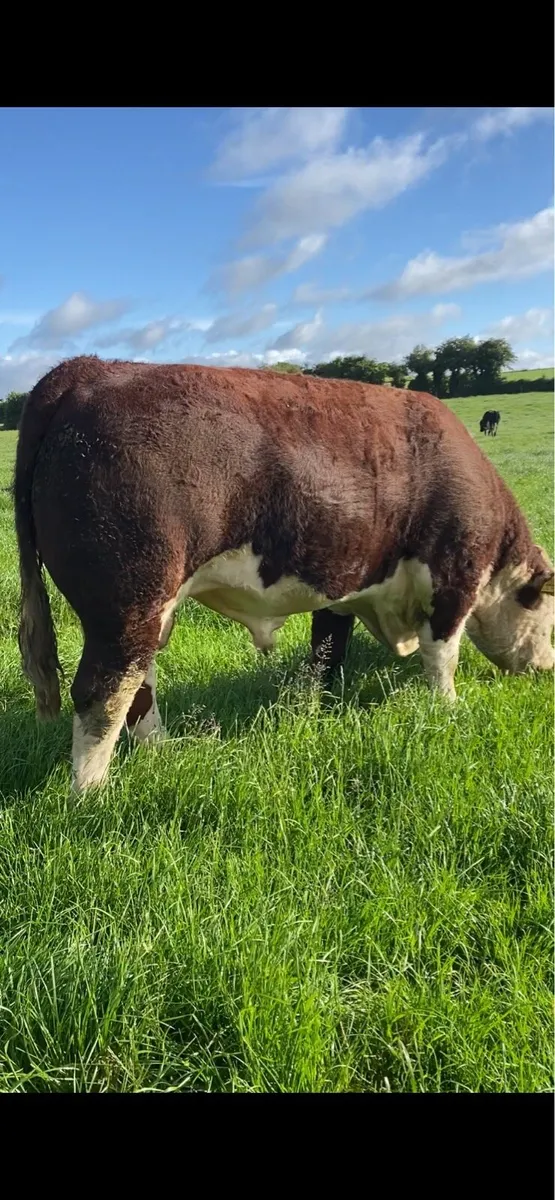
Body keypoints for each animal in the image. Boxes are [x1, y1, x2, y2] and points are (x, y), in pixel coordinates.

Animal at [14, 356, 554, 793]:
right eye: (550, 617)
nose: (545, 668)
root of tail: (88, 367)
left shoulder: (344, 579)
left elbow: (327, 650)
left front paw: (318, 707)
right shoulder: (454, 576)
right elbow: (443, 656)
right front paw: (449, 709)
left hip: (148, 611)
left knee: (138, 684)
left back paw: (162, 751)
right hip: (127, 604)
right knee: (102, 693)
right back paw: (91, 794)